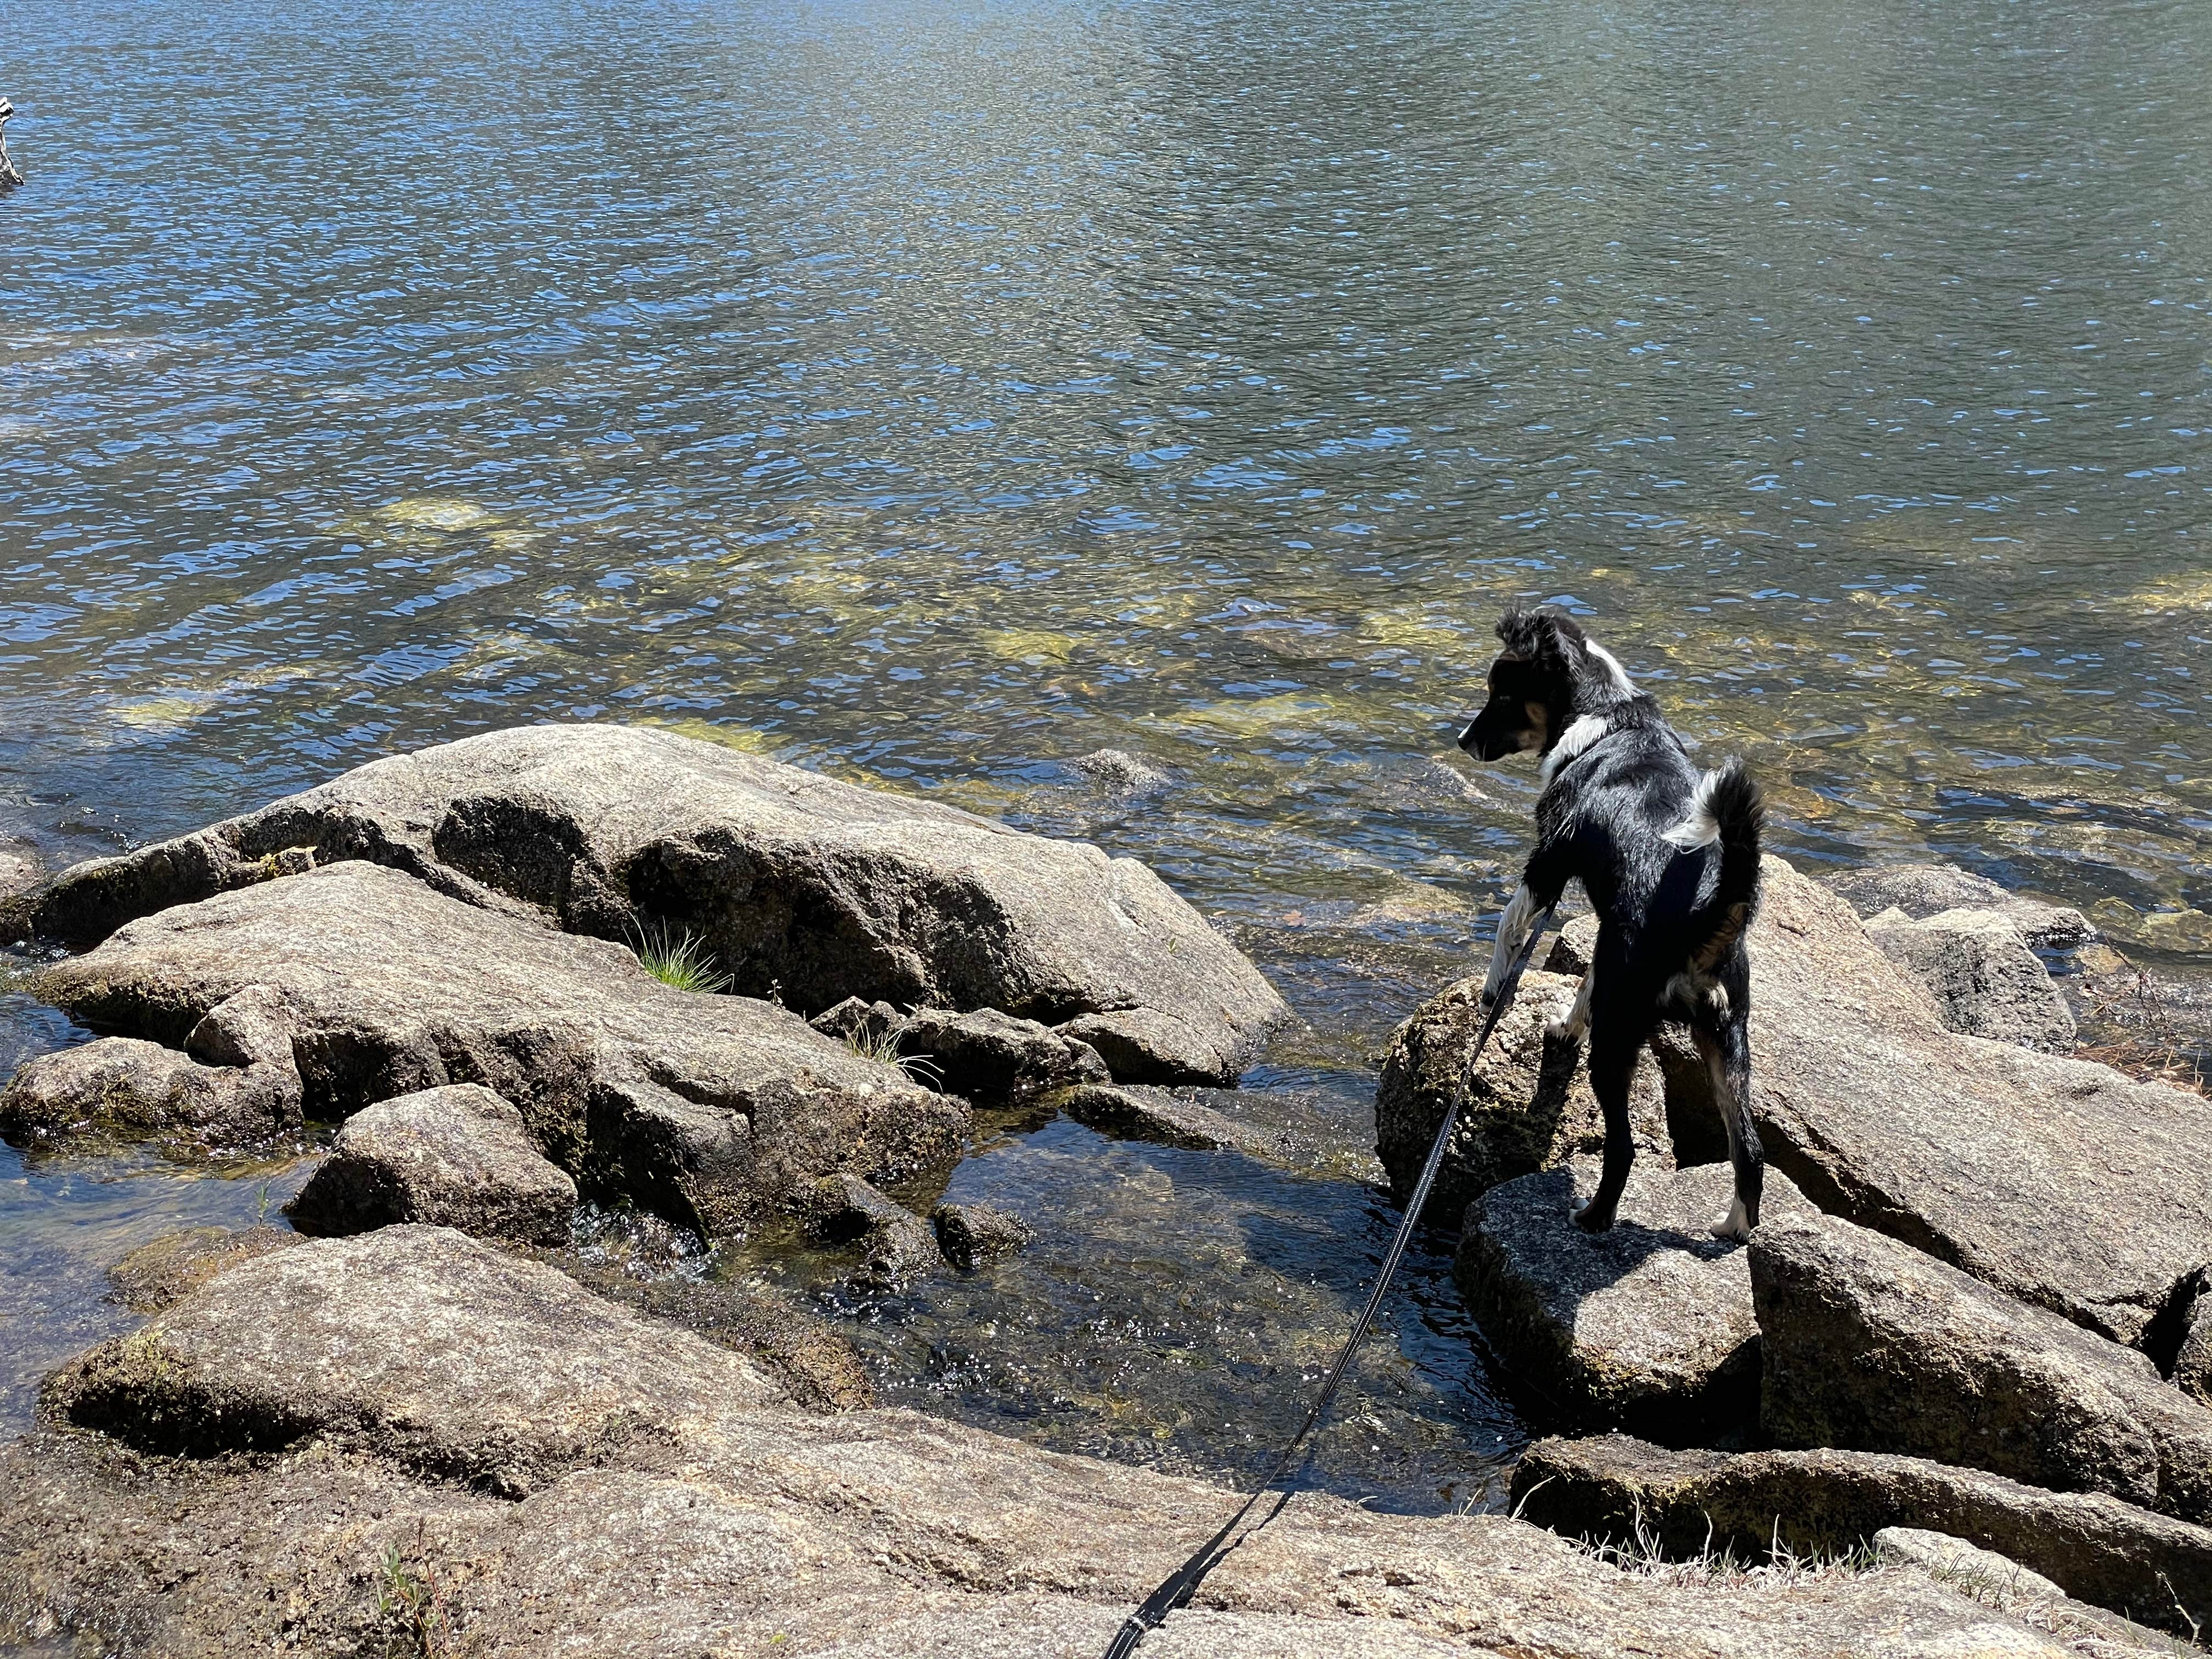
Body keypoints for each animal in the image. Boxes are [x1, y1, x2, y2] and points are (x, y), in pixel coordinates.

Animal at [1460, 610, 1769, 1248]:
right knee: (1750, 1150)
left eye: (1501, 695)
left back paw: (1593, 1218)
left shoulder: (1548, 863)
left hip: (1619, 1040)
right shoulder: (1609, 934)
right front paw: (1564, 1026)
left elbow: (1509, 926)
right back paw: (1732, 1229)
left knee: (1623, 1148)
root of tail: (1707, 914)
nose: (1462, 741)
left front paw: (1495, 988)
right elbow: (1586, 982)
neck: (1607, 720)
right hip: (1728, 1039)